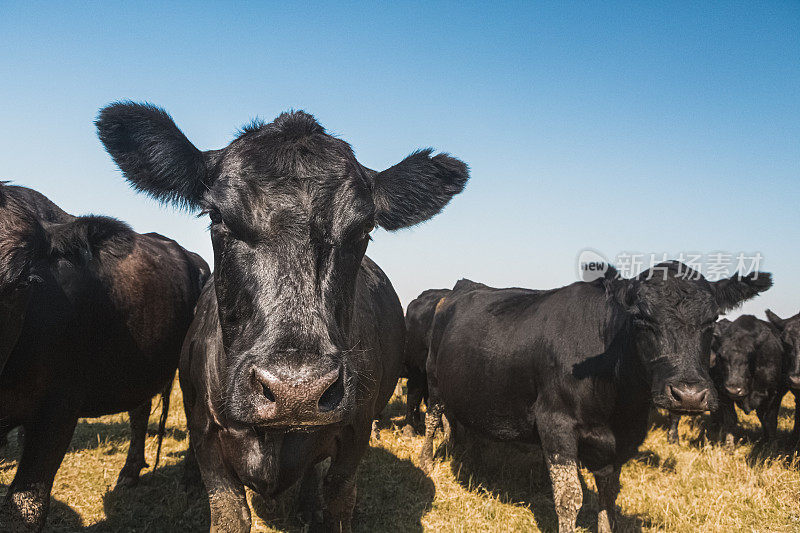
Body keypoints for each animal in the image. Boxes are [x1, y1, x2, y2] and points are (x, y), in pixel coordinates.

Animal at [0, 182, 209, 528]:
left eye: (23, 282)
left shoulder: (60, 406)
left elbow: (27, 505)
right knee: (140, 413)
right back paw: (131, 471)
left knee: (195, 416)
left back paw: (193, 479)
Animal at [422, 262, 772, 532]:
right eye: (641, 318)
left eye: (712, 320)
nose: (688, 395)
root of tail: (461, 287)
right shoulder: (555, 424)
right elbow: (569, 498)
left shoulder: (626, 436)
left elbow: (608, 496)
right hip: (433, 379)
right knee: (431, 419)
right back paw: (426, 463)